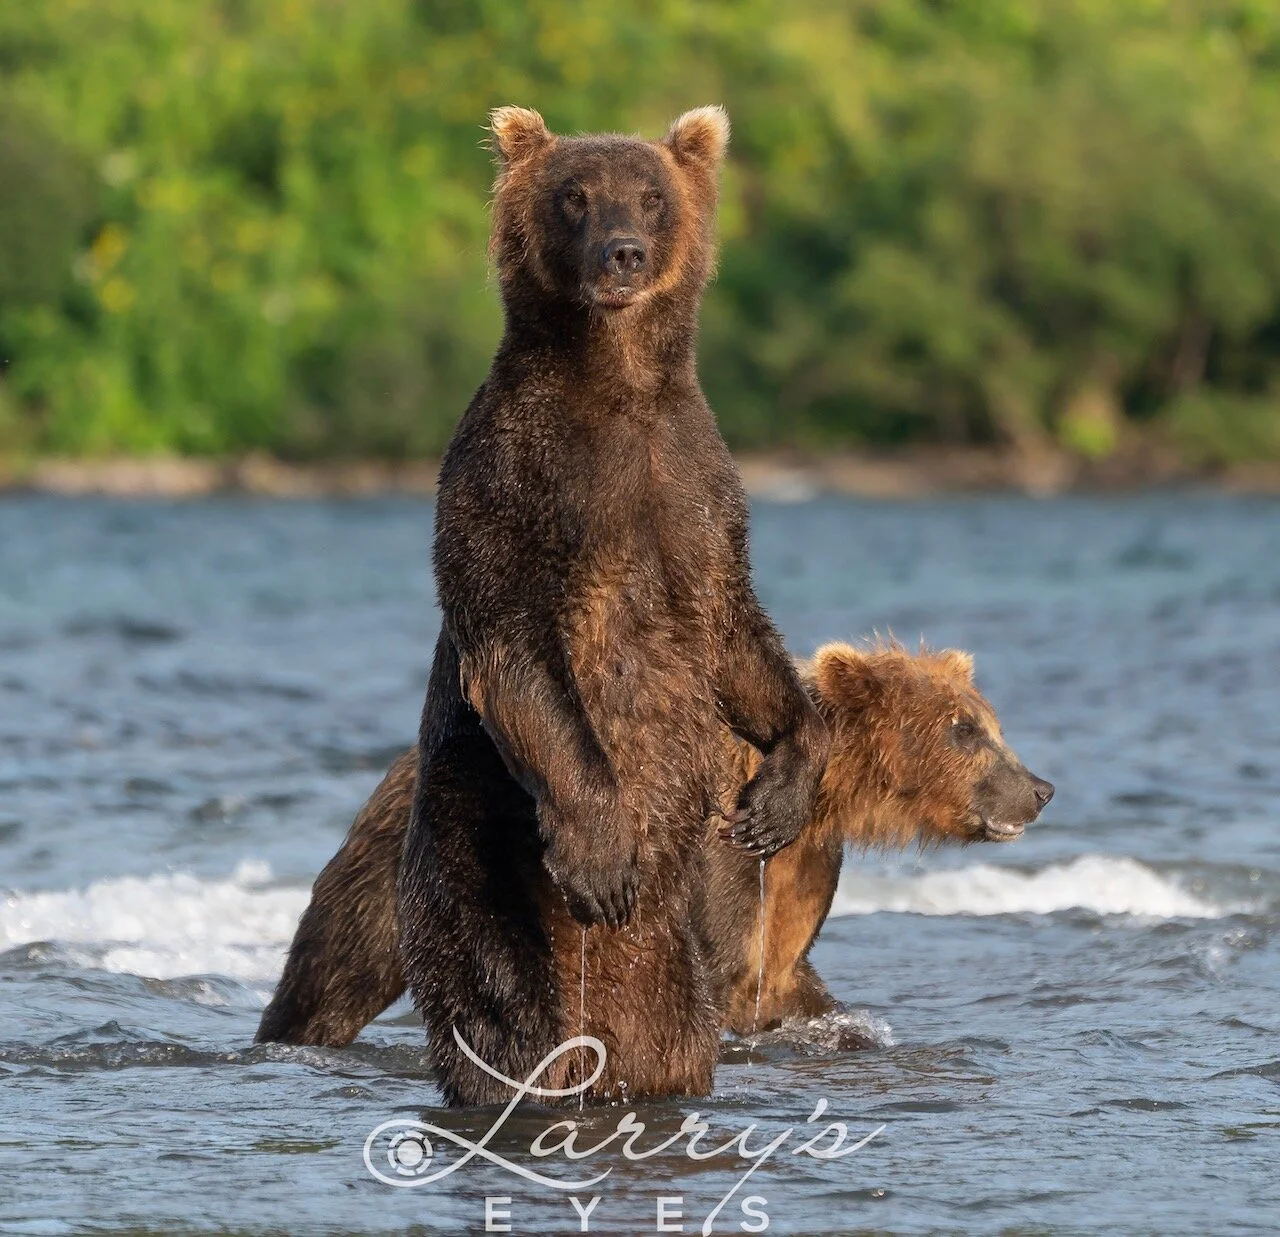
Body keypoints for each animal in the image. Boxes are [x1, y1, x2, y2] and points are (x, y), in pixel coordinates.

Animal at [256, 643, 1053, 1049]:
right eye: (964, 729)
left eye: (990, 723)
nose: (1039, 787)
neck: (822, 797)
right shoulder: (718, 856)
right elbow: (719, 965)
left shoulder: (801, 867)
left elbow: (785, 970)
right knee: (334, 974)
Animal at [395, 106, 830, 1106]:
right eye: (575, 195)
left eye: (652, 194)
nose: (622, 252)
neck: (617, 381)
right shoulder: (514, 481)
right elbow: (514, 642)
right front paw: (602, 856)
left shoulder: (693, 490)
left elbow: (735, 631)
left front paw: (778, 792)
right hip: (476, 858)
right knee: (505, 1014)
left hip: (679, 959)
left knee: (680, 1033)